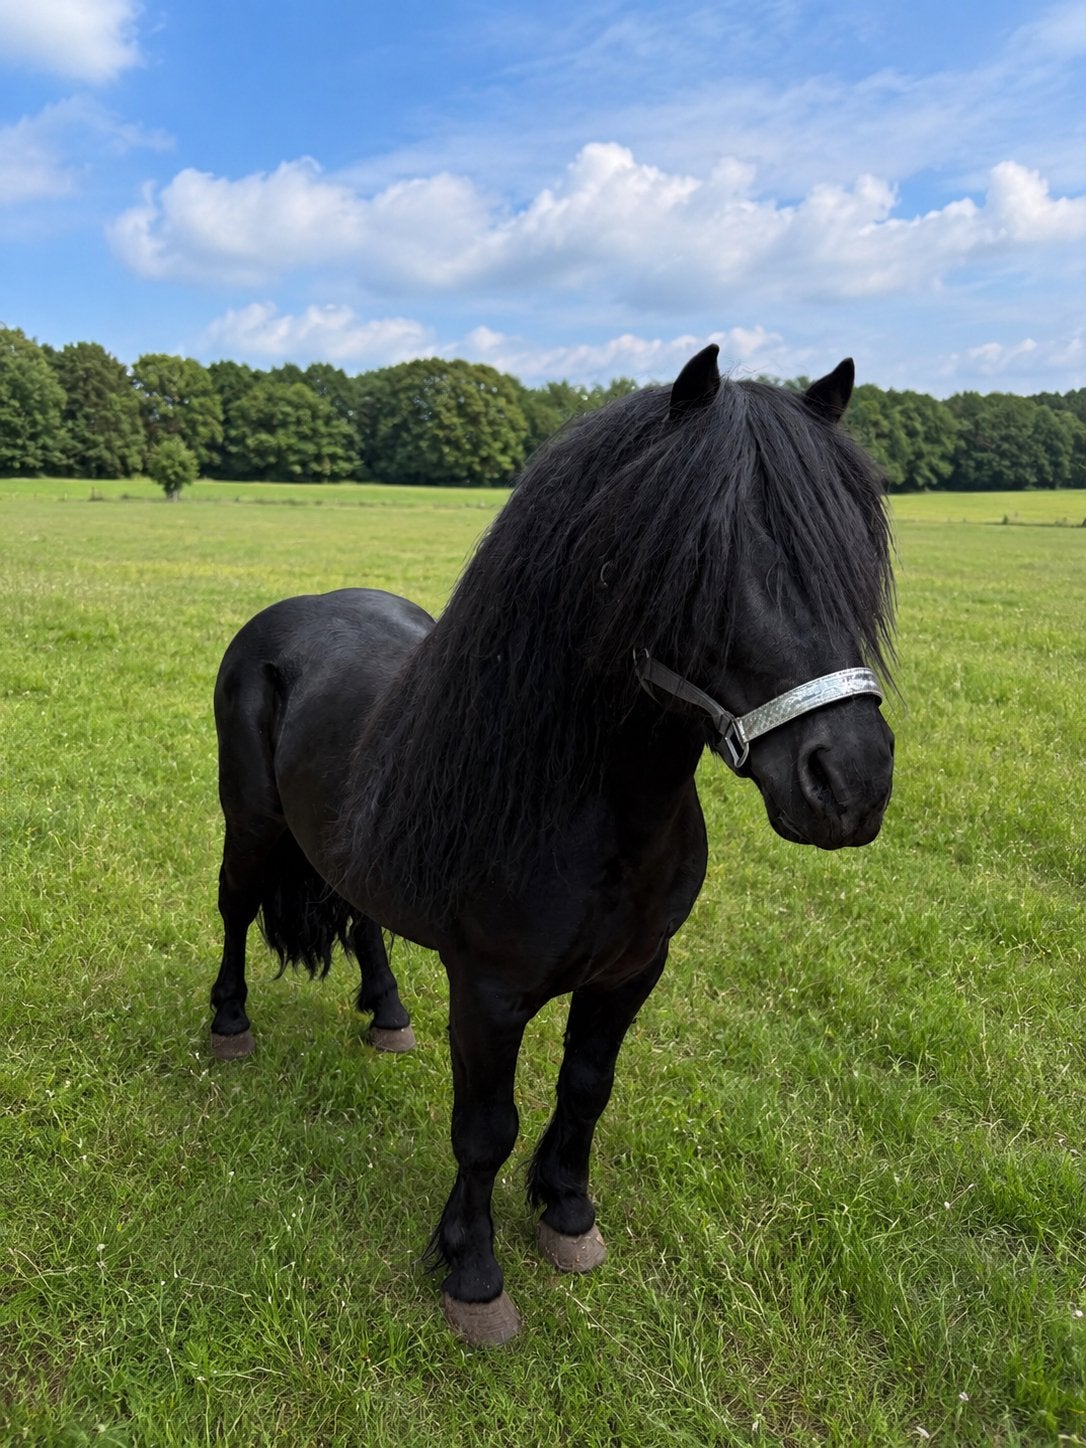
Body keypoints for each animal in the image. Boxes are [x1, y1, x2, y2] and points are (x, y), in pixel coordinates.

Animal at [208, 344, 896, 1346]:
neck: (592, 817)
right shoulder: (489, 993)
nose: (850, 784)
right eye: (699, 560)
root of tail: (288, 612)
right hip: (251, 827)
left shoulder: (633, 971)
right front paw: (474, 1275)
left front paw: (568, 1214)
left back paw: (387, 1014)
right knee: (231, 911)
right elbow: (484, 1127)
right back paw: (229, 1025)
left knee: (364, 918)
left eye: (853, 556)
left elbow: (586, 1087)